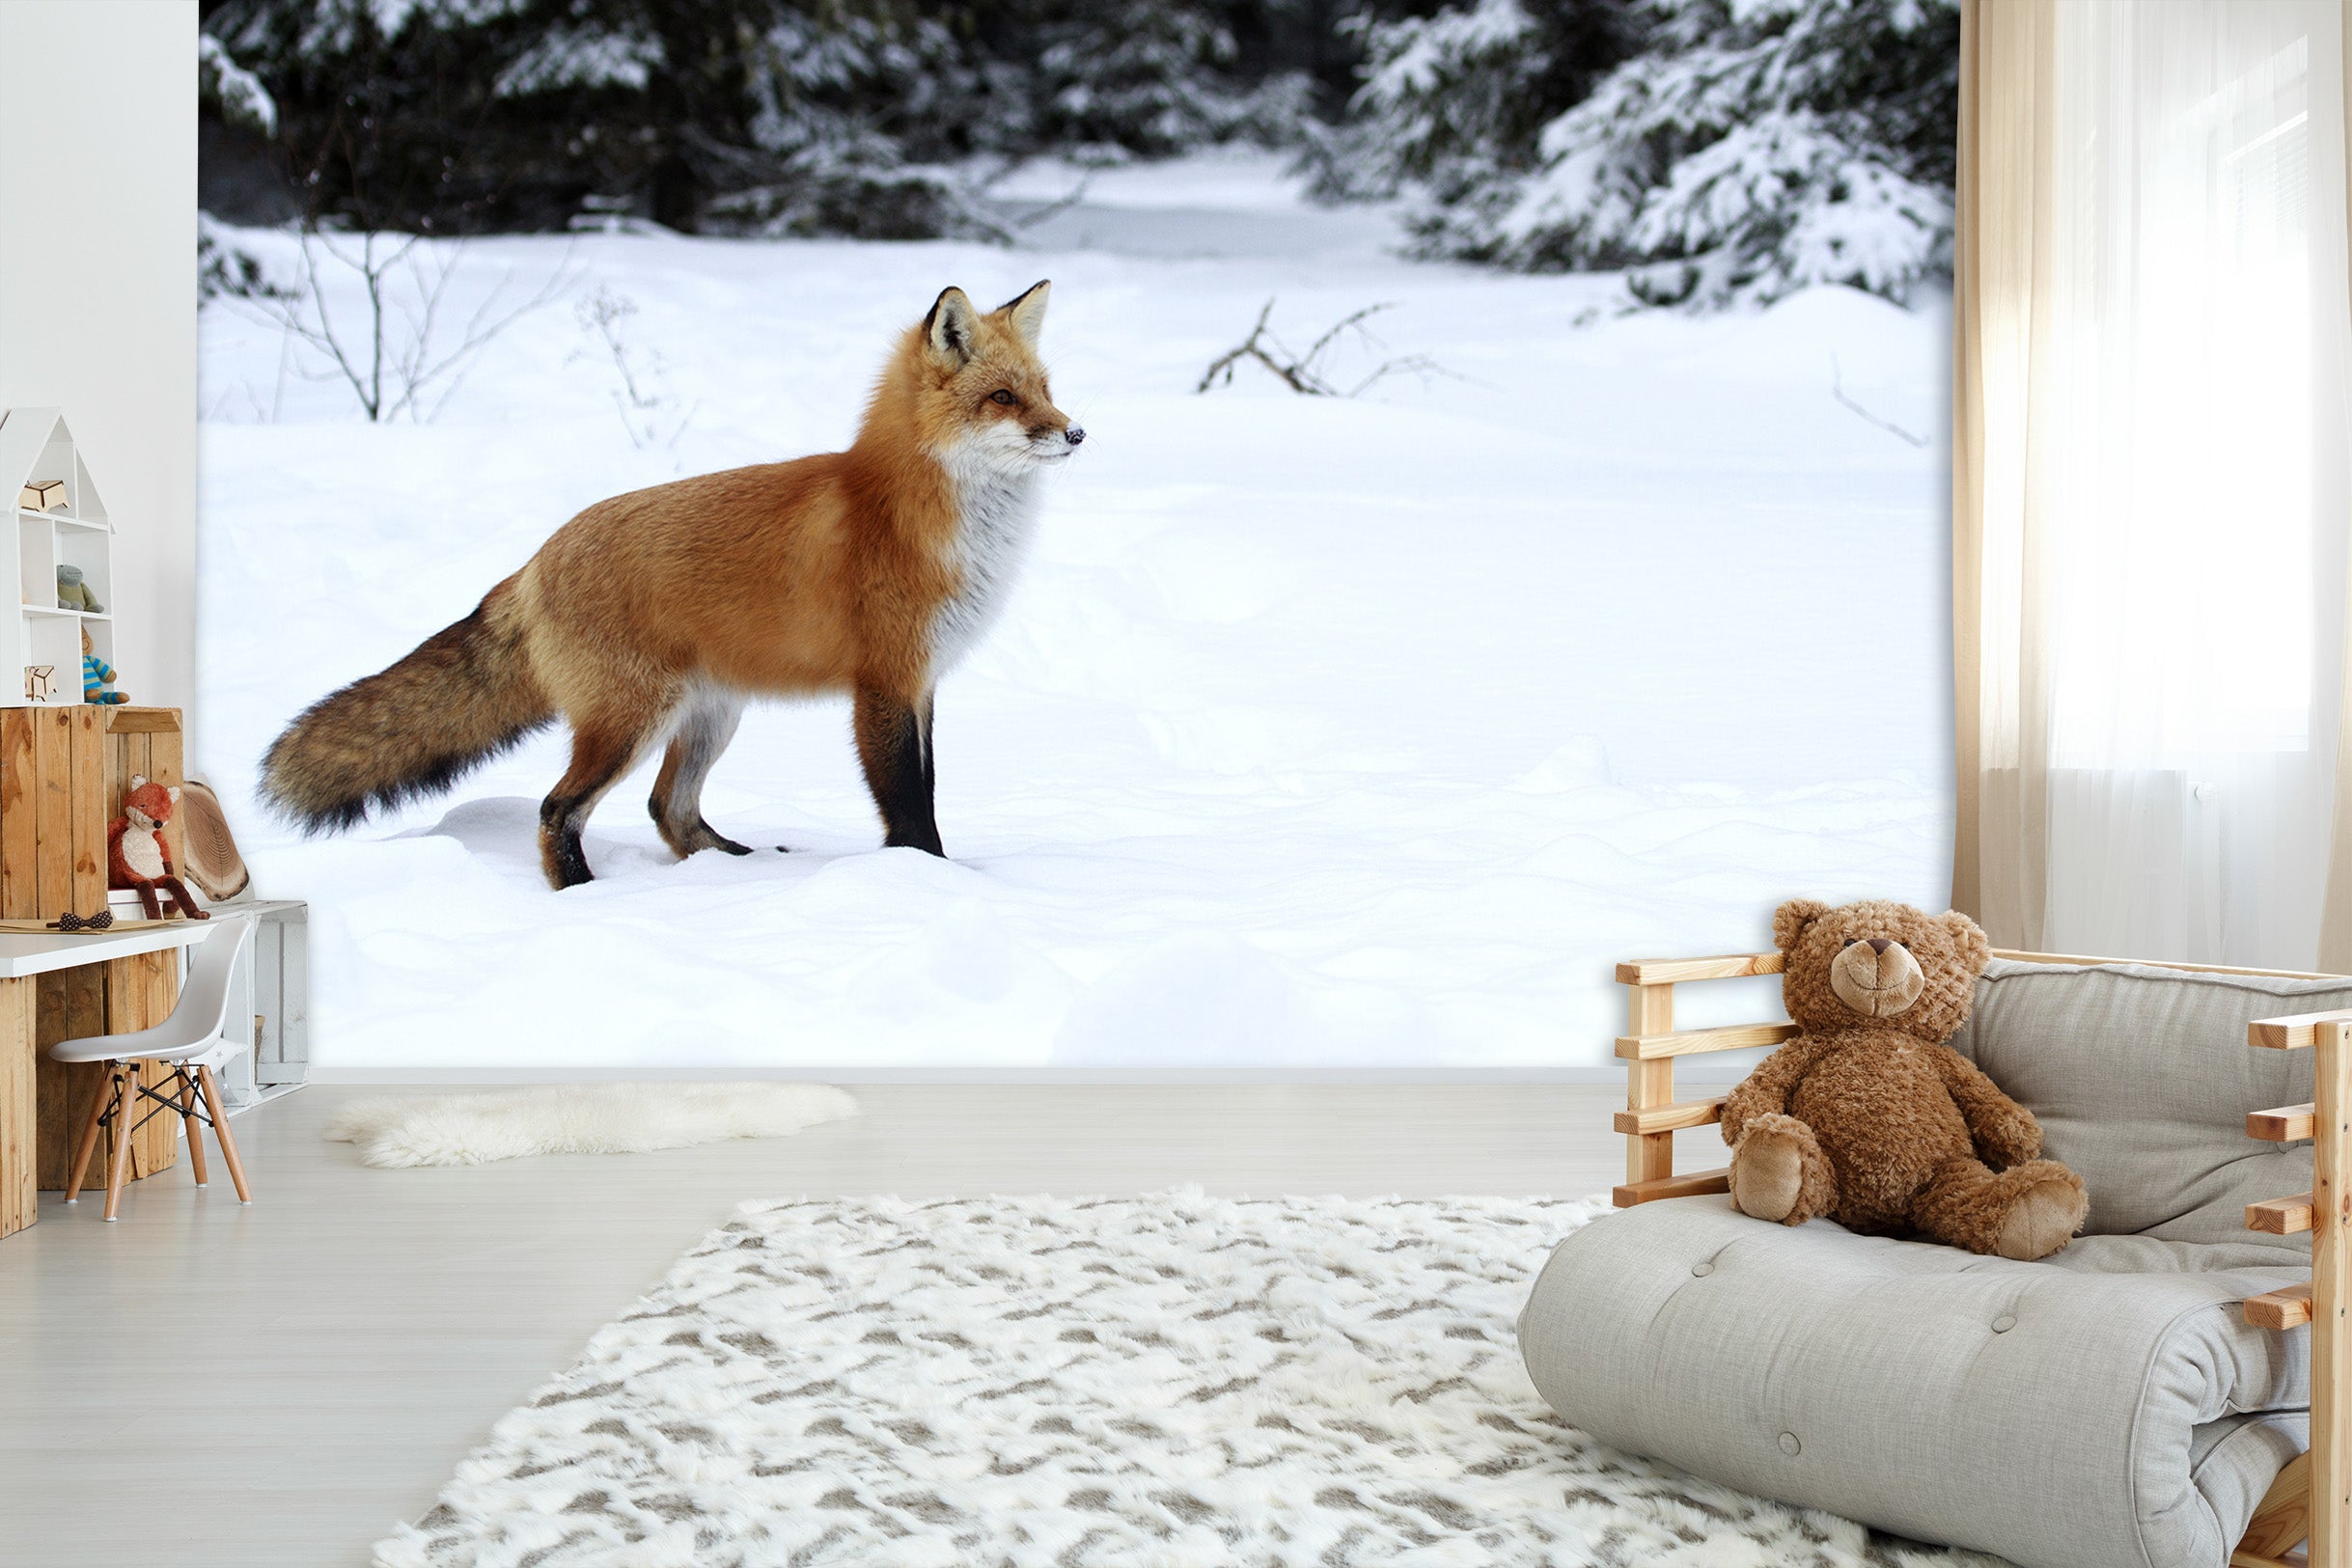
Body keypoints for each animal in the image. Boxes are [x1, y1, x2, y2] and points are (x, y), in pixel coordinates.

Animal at [260, 280, 1083, 889]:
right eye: (1003, 398)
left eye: (1045, 390)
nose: (1076, 433)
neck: (912, 512)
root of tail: (534, 561)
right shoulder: (884, 681)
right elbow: (908, 805)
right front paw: (932, 883)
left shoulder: (923, 684)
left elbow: (929, 788)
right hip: (632, 720)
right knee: (557, 808)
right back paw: (584, 892)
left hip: (710, 715)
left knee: (668, 808)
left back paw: (730, 872)